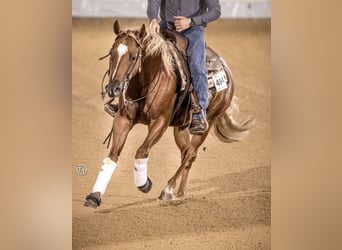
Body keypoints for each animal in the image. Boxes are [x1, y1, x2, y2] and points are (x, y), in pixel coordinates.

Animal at [83, 19, 254, 208]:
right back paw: (179, 191)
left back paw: (168, 189)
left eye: (133, 57)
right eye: (111, 54)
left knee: (191, 153)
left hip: (207, 122)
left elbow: (141, 151)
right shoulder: (123, 119)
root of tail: (226, 70)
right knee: (186, 153)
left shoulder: (160, 122)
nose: (113, 89)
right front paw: (95, 196)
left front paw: (144, 184)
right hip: (180, 127)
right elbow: (112, 156)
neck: (147, 82)